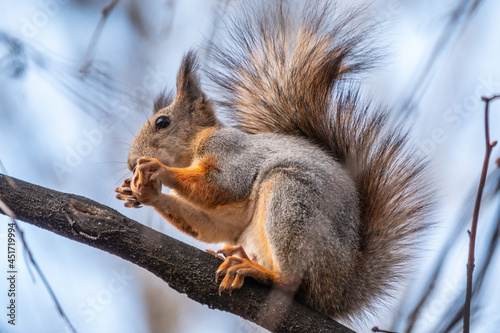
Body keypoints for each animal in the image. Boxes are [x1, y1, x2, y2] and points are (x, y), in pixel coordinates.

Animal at [115, 1, 432, 320]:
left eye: (162, 122)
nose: (130, 163)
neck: (195, 147)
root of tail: (340, 293)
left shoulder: (231, 152)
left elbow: (222, 185)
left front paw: (157, 170)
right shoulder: (228, 219)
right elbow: (213, 225)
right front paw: (141, 192)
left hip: (291, 202)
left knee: (291, 281)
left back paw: (257, 271)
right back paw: (240, 257)